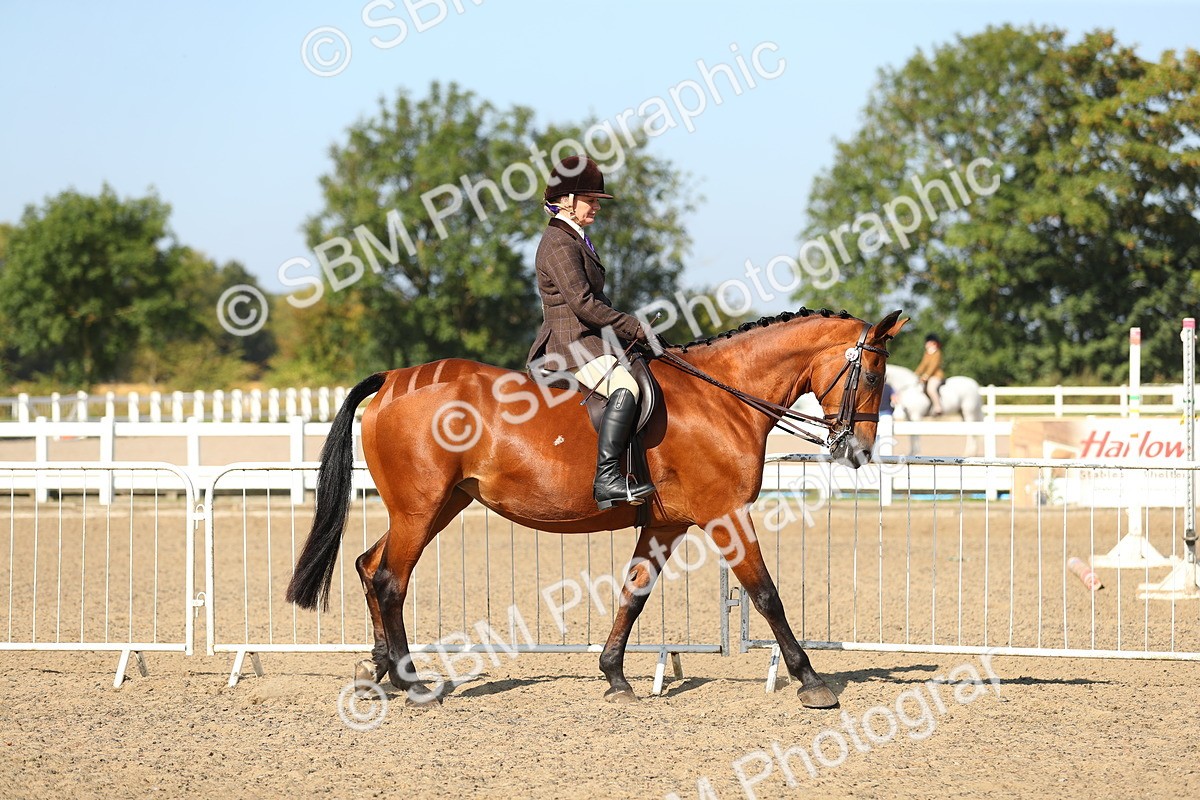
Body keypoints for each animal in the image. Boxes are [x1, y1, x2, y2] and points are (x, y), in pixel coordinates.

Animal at [286, 309, 906, 709]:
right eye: (874, 374)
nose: (858, 452)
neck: (722, 397)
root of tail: (393, 378)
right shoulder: (725, 515)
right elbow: (767, 594)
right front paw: (811, 682)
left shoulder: (665, 524)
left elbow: (634, 593)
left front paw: (615, 677)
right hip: (421, 509)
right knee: (390, 579)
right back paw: (413, 684)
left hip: (441, 505)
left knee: (369, 565)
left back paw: (379, 672)